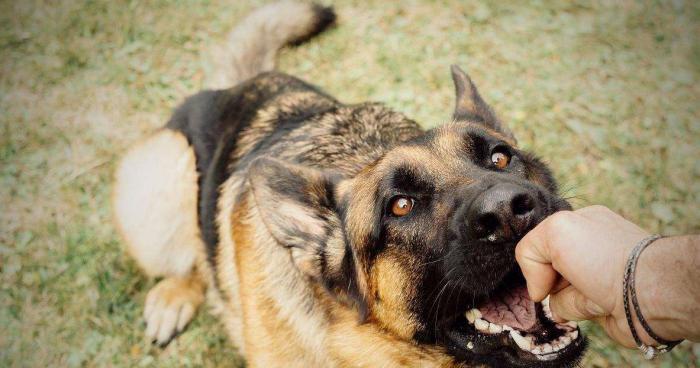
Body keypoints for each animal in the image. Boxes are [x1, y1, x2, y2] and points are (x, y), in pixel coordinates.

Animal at [113, 1, 584, 366]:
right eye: (400, 206)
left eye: (500, 157)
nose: (508, 211)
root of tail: (241, 84)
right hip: (165, 174)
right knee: (191, 255)